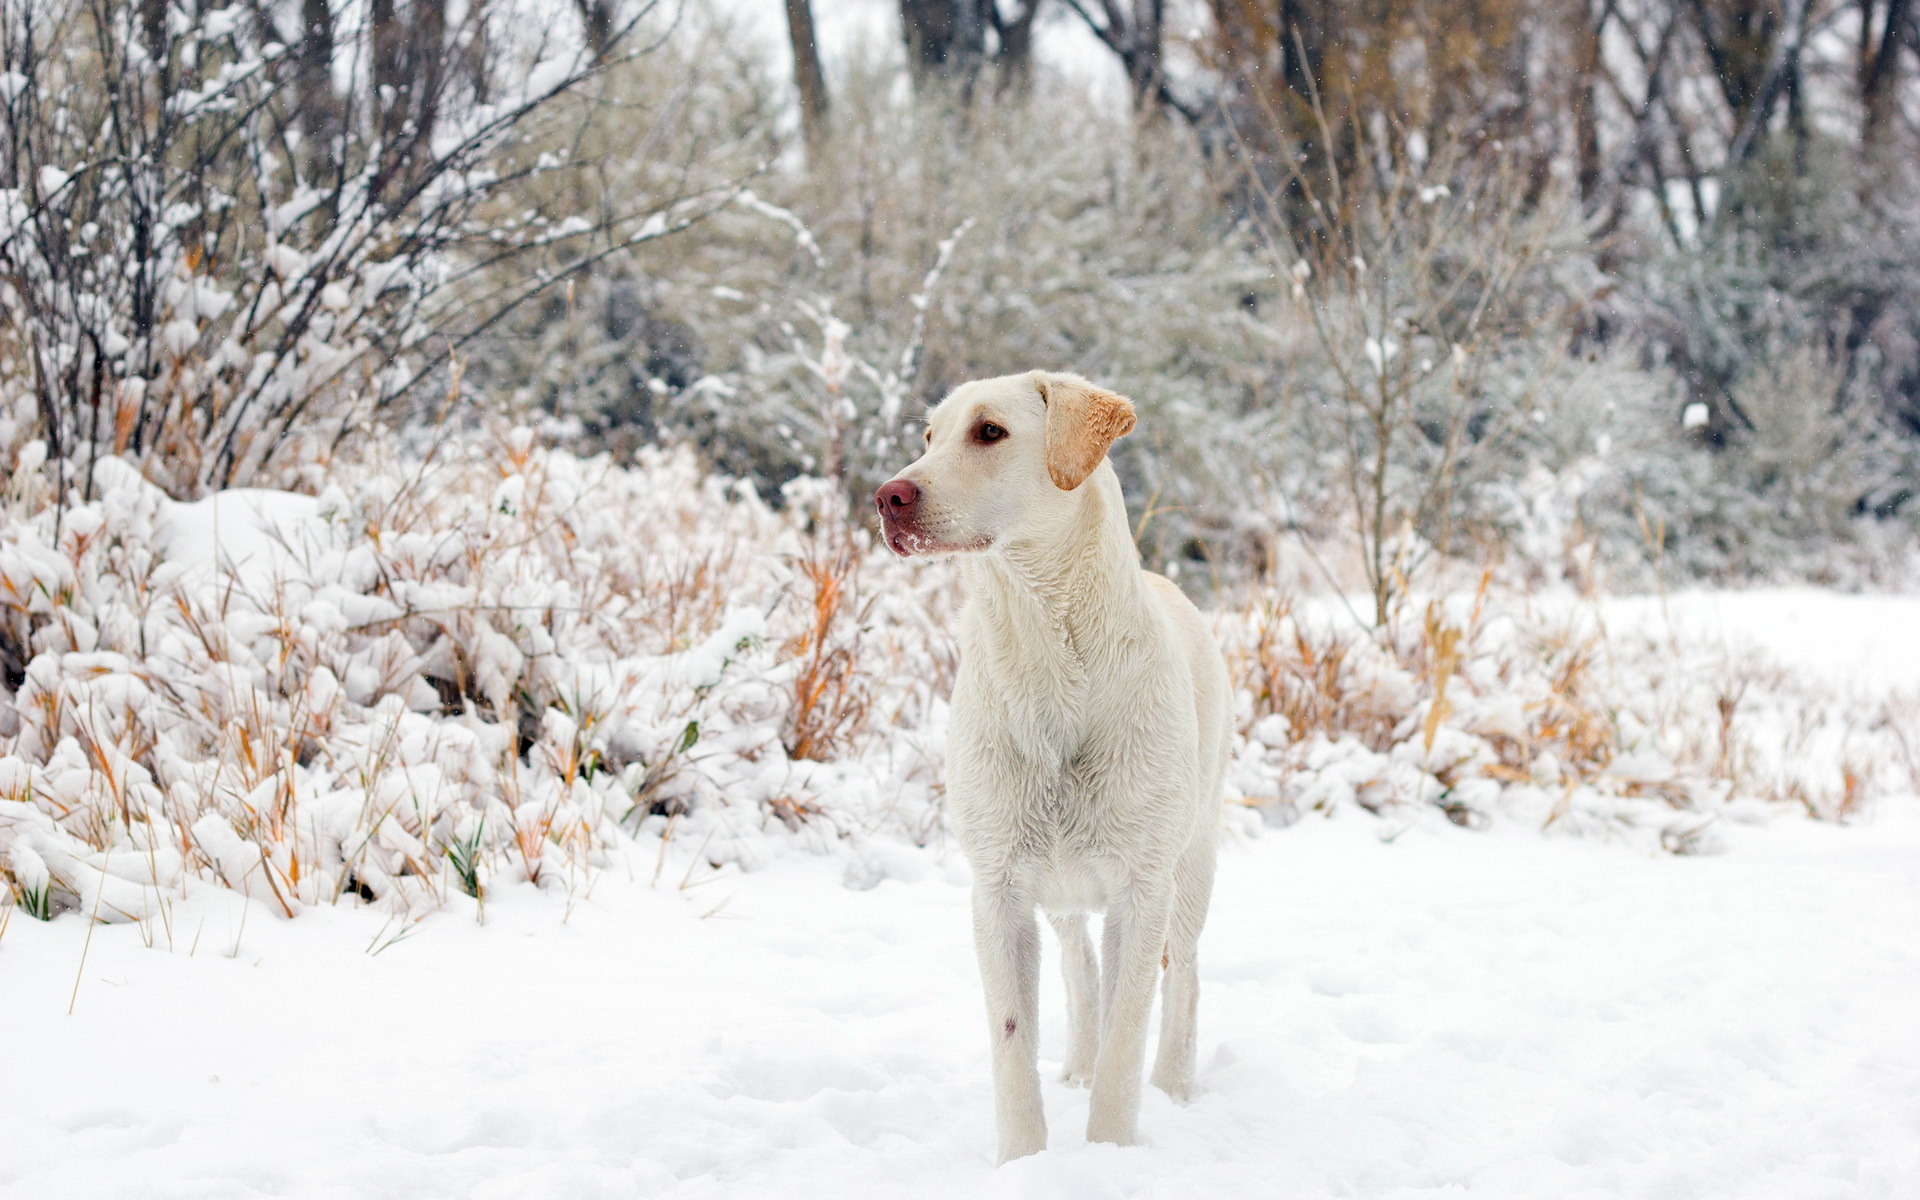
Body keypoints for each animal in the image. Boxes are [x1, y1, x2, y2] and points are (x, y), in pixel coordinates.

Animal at [875, 366, 1228, 1159]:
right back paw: (1076, 1067)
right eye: (928, 436)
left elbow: (1127, 1037)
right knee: (1079, 965)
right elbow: (1013, 1043)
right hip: (1060, 885)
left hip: (1192, 863)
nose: (887, 496)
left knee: (1186, 979)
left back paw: (1176, 1086)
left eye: (989, 432)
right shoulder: (997, 891)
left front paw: (1109, 1154)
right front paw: (1024, 1160)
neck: (1044, 650)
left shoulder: (1142, 889)